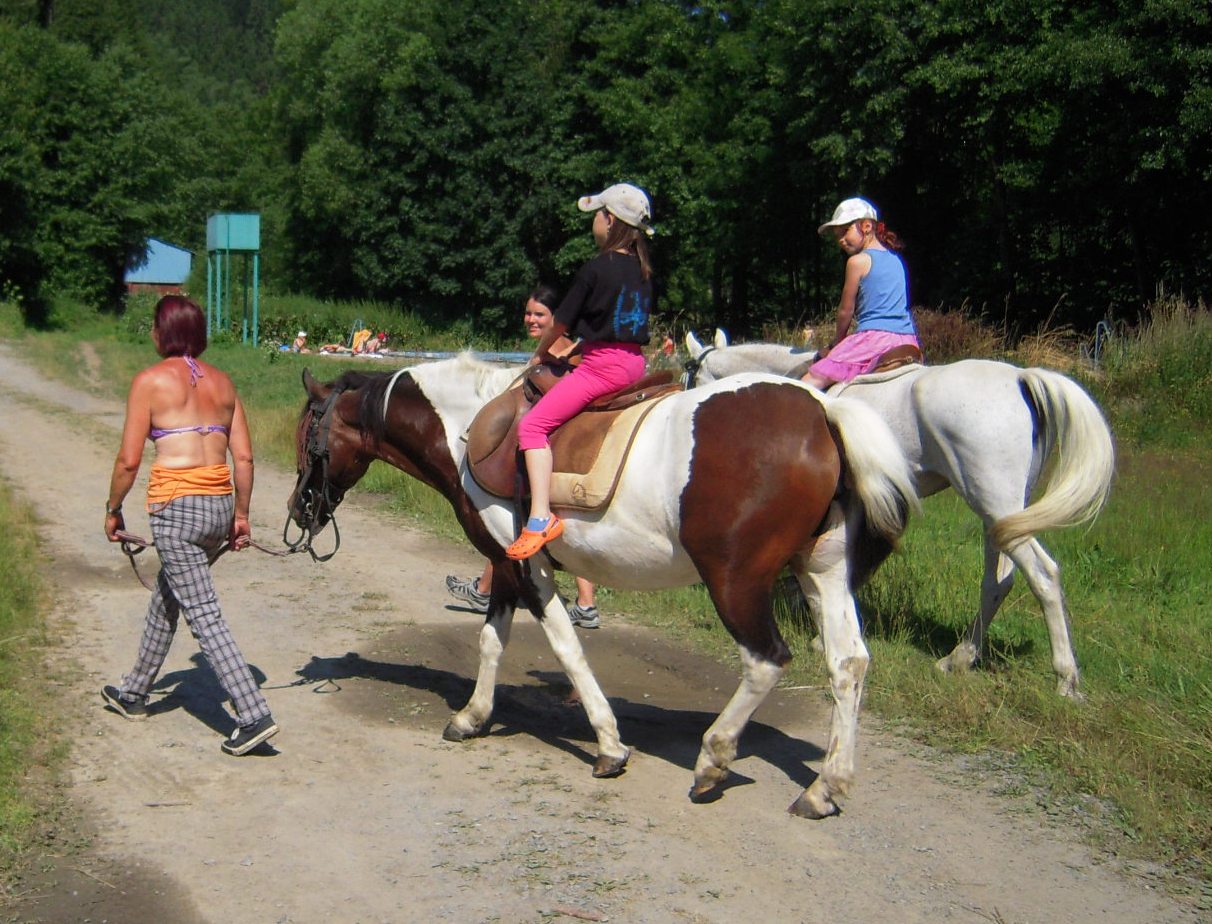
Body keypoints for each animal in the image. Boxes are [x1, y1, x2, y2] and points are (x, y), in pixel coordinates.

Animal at [288, 354, 917, 818]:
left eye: (306, 437)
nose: (299, 510)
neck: (468, 430)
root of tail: (821, 411)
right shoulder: (504, 565)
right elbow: (492, 641)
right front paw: (472, 717)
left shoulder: (527, 568)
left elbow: (567, 648)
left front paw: (610, 746)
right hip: (821, 571)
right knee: (848, 663)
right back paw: (825, 786)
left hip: (736, 581)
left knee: (766, 659)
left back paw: (713, 760)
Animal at [683, 329, 1115, 699]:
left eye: (693, 376)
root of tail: (1022, 378)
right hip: (1003, 515)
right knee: (998, 582)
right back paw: (959, 658)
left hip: (994, 502)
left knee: (1043, 575)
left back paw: (1065, 678)